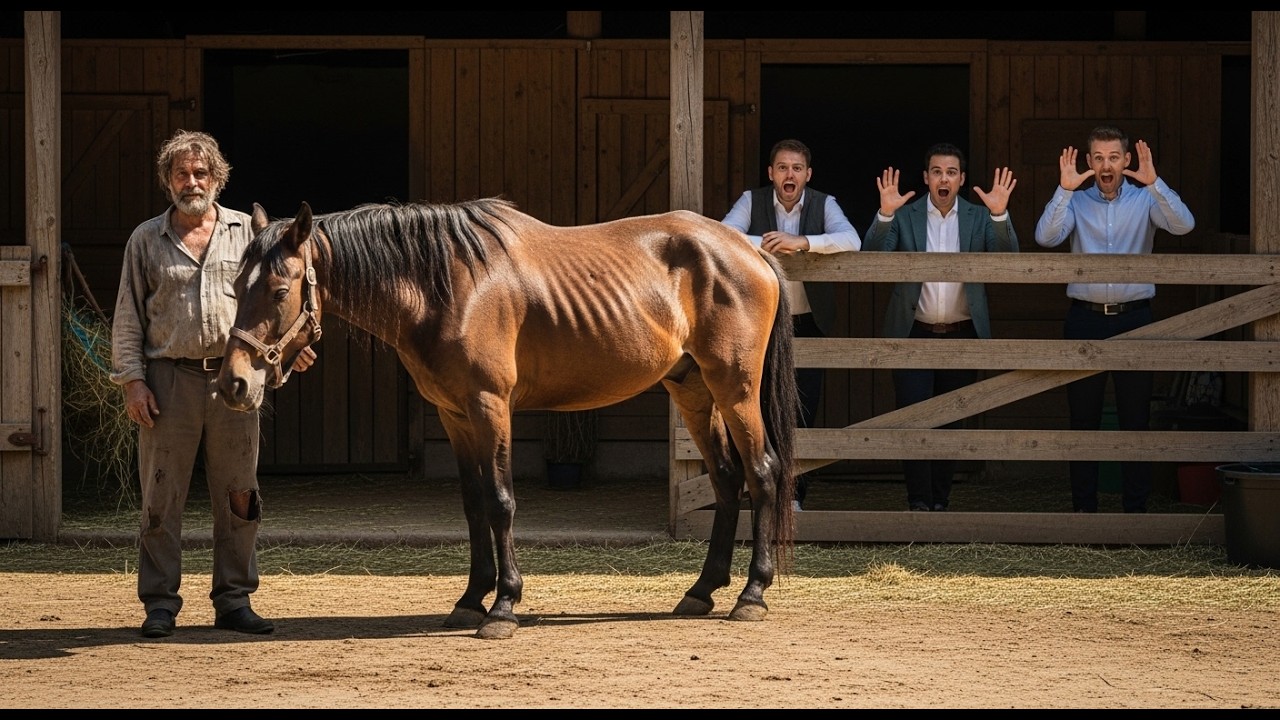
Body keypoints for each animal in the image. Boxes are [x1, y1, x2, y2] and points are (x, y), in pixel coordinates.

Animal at [217, 197, 798, 640]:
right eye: (235, 287)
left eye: (280, 291)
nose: (233, 384)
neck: (446, 288)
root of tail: (747, 249)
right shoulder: (454, 416)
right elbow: (474, 505)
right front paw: (471, 599)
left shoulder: (490, 406)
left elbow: (500, 502)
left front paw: (502, 607)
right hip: (694, 390)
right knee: (726, 479)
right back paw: (701, 591)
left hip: (735, 389)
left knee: (762, 474)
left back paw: (752, 594)